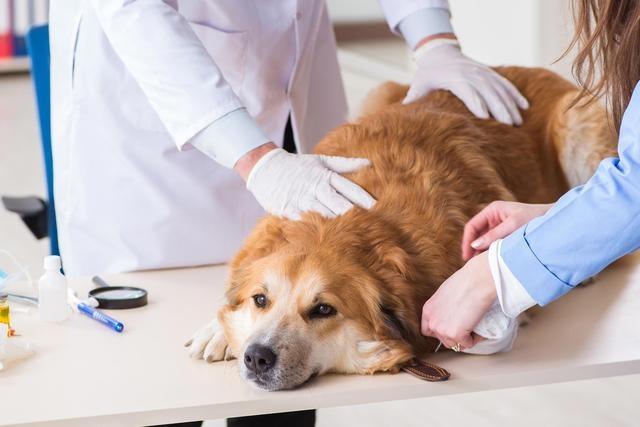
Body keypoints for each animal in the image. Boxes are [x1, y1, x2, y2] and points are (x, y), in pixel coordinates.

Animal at [184, 66, 616, 392]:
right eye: (261, 300)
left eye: (324, 309)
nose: (257, 356)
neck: (339, 226)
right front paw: (217, 330)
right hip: (382, 92)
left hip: (578, 126)